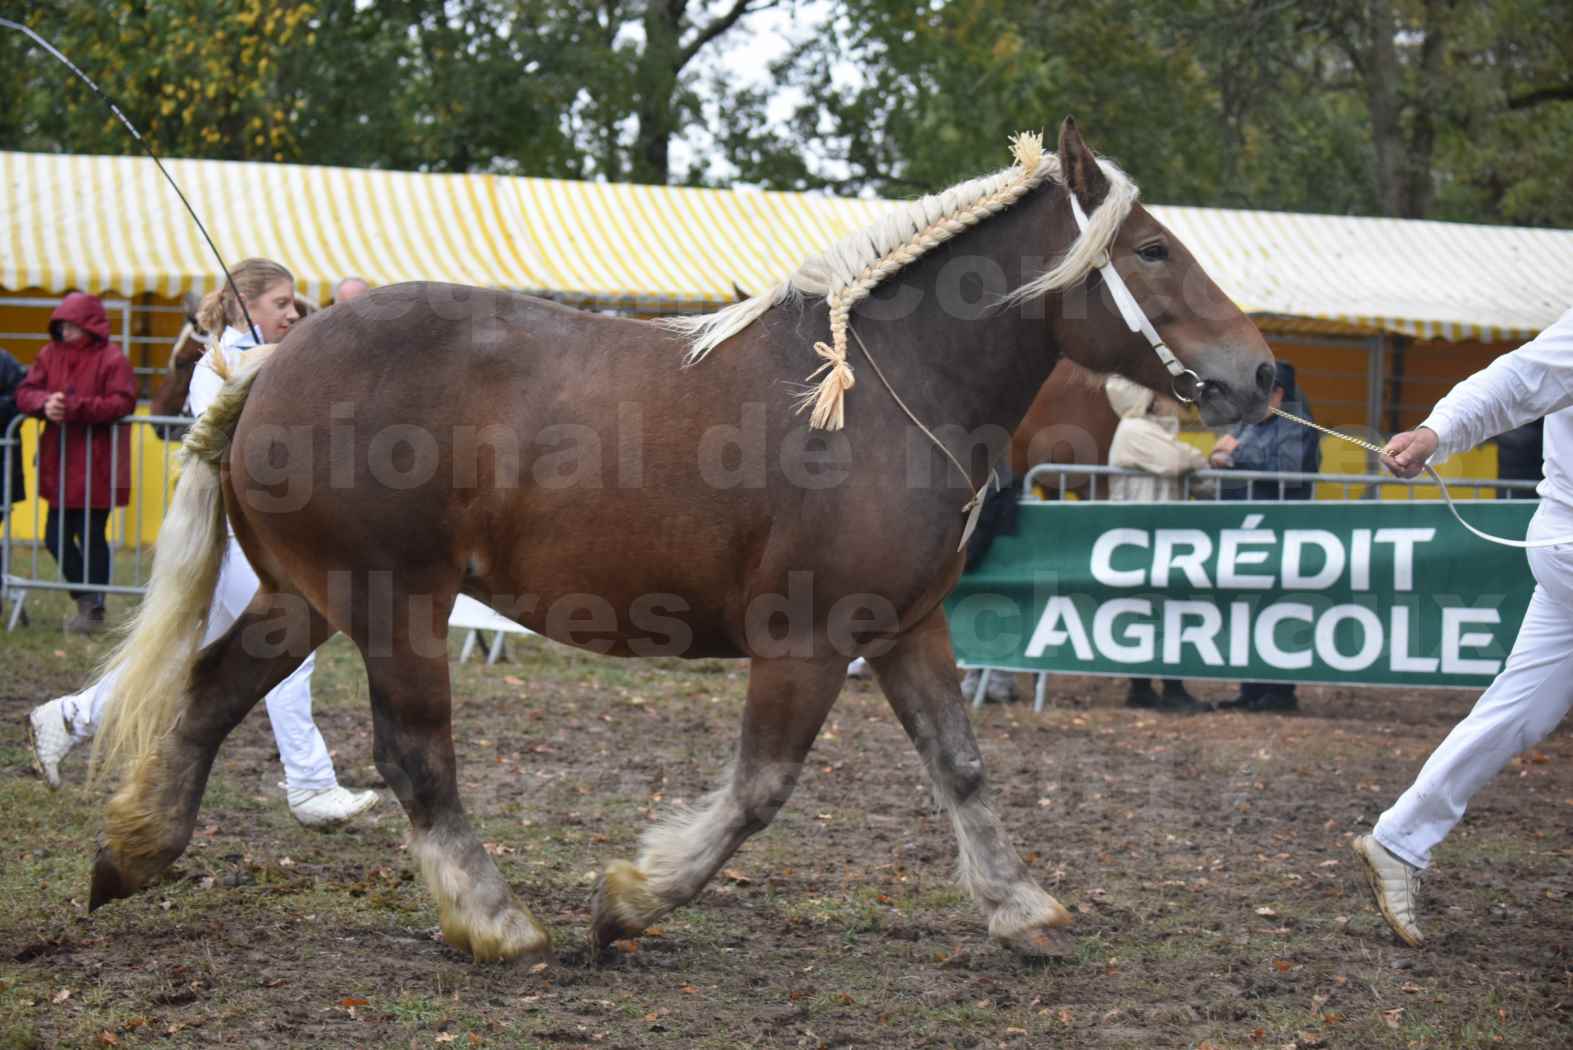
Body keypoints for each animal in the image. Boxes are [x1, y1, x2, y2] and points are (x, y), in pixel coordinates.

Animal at [86, 118, 1270, 961]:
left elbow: (962, 765)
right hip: (394, 605)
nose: (1259, 374)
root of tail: (266, 365)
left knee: (209, 695)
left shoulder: (903, 627)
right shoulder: (807, 637)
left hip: (303, 599)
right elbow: (759, 789)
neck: (888, 391)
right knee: (416, 758)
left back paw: (131, 856)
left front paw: (1019, 906)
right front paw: (629, 902)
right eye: (1153, 248)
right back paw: (496, 923)